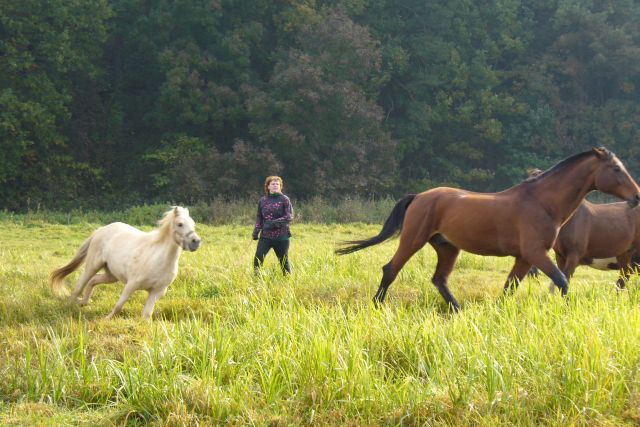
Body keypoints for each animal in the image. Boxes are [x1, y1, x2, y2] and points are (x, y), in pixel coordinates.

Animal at [49, 206, 200, 320]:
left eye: (193, 223)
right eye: (180, 224)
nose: (196, 242)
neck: (158, 260)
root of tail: (100, 230)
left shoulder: (157, 292)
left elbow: (146, 315)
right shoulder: (131, 285)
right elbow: (119, 305)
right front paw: (106, 319)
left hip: (111, 275)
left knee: (93, 280)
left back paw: (83, 302)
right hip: (93, 266)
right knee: (80, 285)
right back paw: (68, 306)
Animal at [336, 148, 640, 310]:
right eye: (616, 169)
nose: (637, 195)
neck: (542, 202)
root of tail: (419, 196)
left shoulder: (525, 258)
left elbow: (509, 288)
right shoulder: (537, 253)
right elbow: (562, 282)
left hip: (447, 247)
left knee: (439, 280)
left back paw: (459, 311)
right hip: (413, 239)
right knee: (391, 269)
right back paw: (377, 305)